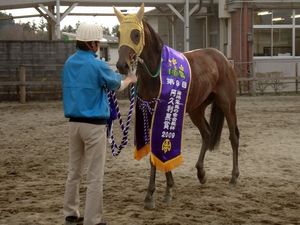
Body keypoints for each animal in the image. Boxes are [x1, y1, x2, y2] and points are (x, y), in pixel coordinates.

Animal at [113, 4, 240, 210]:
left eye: (136, 34)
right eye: (118, 33)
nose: (122, 65)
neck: (156, 75)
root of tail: (222, 58)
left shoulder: (164, 113)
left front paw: (167, 190)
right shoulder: (149, 113)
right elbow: (154, 152)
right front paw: (151, 194)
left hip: (227, 103)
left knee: (234, 136)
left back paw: (234, 177)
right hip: (196, 109)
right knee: (207, 133)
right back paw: (201, 173)